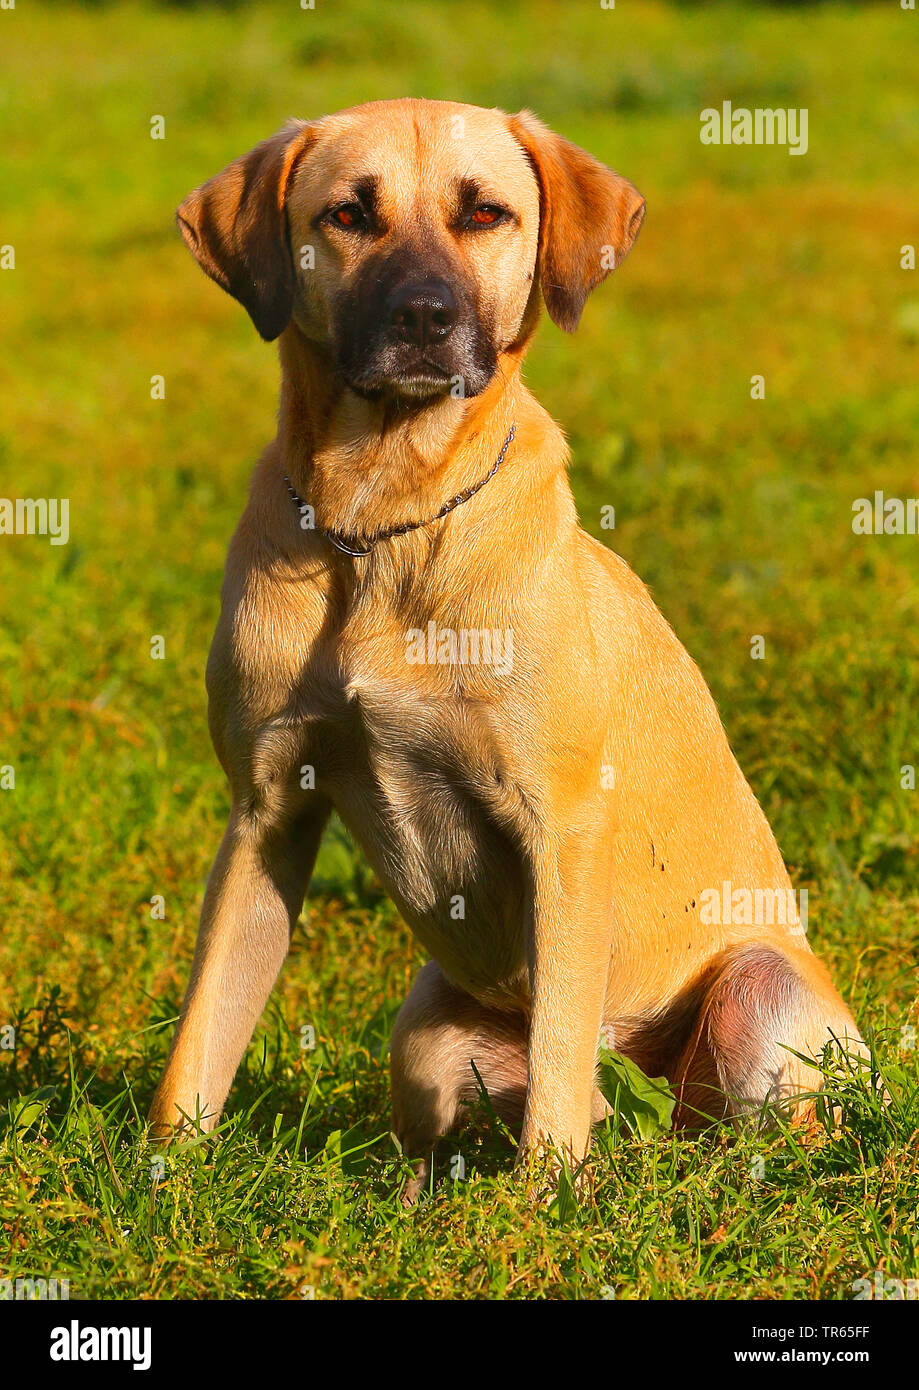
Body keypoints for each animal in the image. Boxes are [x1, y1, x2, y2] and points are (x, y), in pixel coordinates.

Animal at [148, 97, 861, 1189]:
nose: (424, 318)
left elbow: (559, 1052)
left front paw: (542, 1204)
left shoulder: (559, 827)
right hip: (427, 1032)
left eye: (484, 212)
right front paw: (163, 1179)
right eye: (348, 214)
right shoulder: (265, 810)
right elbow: (204, 1029)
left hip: (756, 993)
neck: (385, 525)